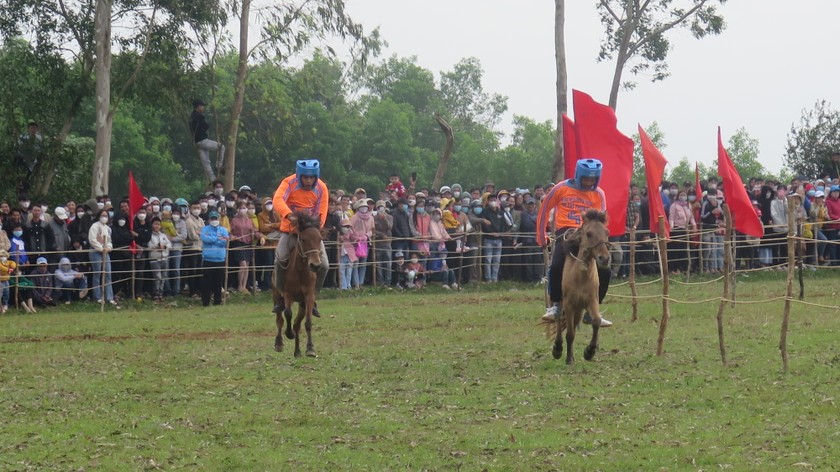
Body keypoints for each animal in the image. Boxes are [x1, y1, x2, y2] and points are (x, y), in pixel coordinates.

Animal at [274, 211, 324, 358]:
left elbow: (307, 322)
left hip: (302, 303)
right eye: (303, 239)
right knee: (280, 319)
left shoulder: (308, 296)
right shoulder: (288, 294)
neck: (300, 272)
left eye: (319, 239)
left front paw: (310, 349)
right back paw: (279, 343)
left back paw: (297, 351)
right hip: (276, 295)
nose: (315, 265)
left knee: (297, 324)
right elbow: (287, 313)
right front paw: (288, 334)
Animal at [552, 210, 612, 366]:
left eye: (607, 232)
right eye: (589, 234)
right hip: (564, 304)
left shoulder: (591, 301)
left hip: (579, 309)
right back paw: (557, 348)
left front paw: (589, 352)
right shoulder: (569, 304)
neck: (581, 275)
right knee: (559, 320)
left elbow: (596, 321)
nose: (604, 259)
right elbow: (570, 333)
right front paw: (568, 358)